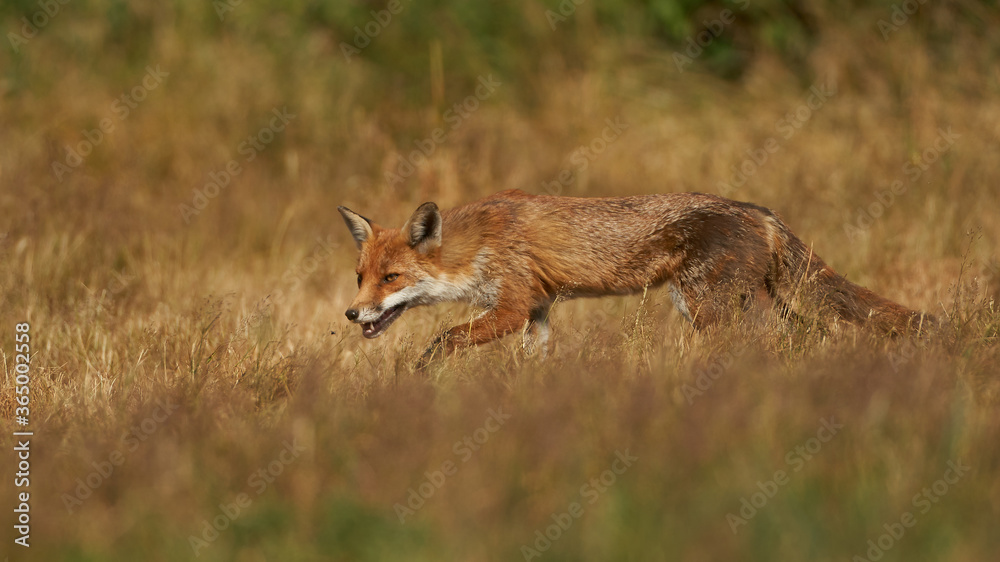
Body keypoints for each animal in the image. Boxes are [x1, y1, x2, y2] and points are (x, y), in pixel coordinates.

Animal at [340, 190, 932, 360]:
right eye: (360, 276)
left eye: (392, 278)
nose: (351, 313)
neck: (478, 245)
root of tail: (760, 211)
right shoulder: (539, 310)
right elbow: (535, 363)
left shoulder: (511, 304)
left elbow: (443, 338)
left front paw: (420, 376)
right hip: (751, 302)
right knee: (805, 334)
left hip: (708, 308)